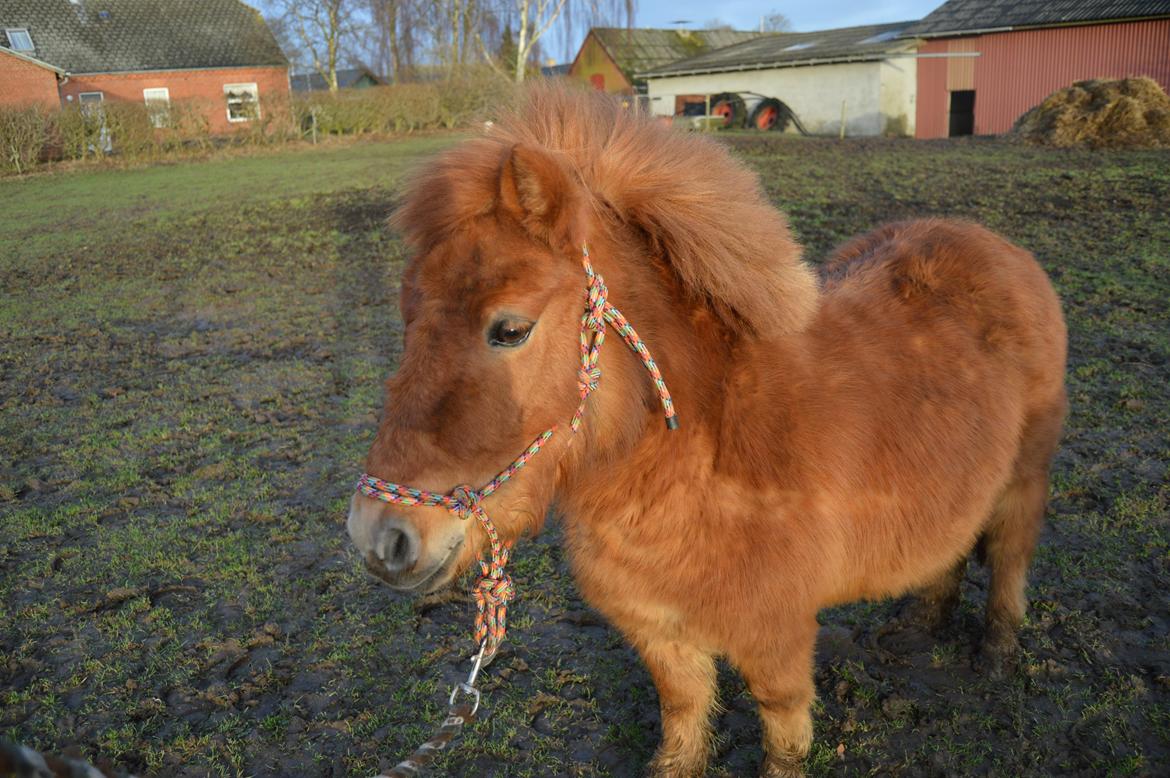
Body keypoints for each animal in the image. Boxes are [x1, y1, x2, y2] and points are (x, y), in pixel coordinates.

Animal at [346, 86, 1071, 776]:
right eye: (407, 316)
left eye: (510, 329)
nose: (378, 537)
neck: (698, 455)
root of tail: (992, 246)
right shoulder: (658, 632)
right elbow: (683, 715)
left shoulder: (776, 638)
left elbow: (782, 731)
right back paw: (919, 626)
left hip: (1025, 479)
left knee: (1010, 554)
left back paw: (996, 654)